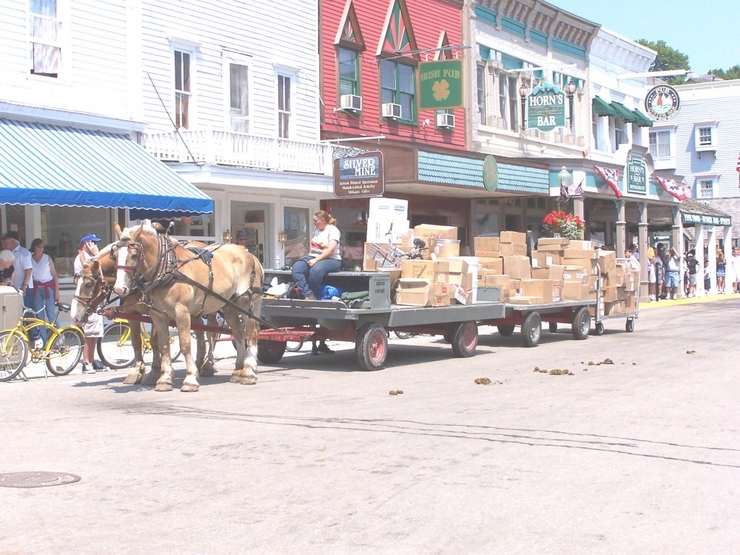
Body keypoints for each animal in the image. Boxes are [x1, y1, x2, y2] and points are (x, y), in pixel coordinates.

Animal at [111, 224, 264, 394]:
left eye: (134, 254)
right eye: (114, 255)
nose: (119, 288)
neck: (167, 268)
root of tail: (249, 254)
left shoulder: (181, 312)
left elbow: (185, 345)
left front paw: (190, 379)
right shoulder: (157, 315)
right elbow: (163, 346)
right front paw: (165, 379)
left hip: (246, 302)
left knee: (251, 333)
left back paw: (248, 371)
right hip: (229, 305)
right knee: (238, 334)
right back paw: (238, 370)